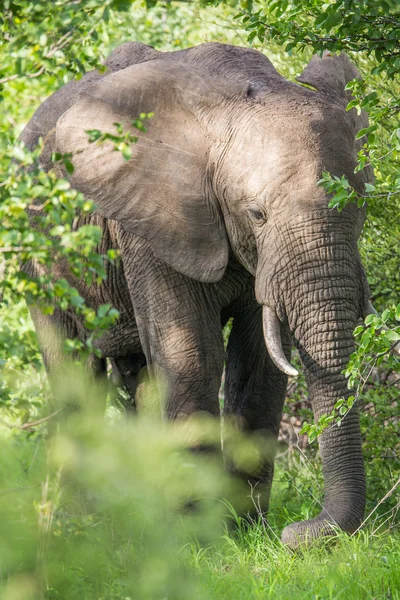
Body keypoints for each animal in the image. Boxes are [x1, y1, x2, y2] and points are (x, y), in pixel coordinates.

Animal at [18, 39, 388, 548]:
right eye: (256, 214)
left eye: (363, 205)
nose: (298, 531)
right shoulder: (151, 224)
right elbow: (194, 356)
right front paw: (201, 541)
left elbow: (258, 361)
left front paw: (247, 530)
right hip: (37, 255)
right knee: (74, 372)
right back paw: (82, 526)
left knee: (141, 379)